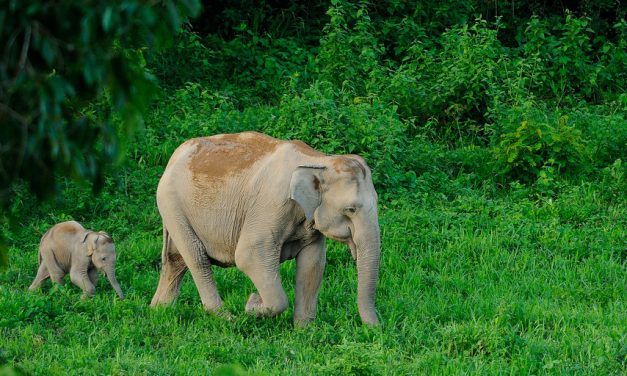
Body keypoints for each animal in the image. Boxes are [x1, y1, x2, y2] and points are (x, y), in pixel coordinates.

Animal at [150, 132, 380, 326]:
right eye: (350, 209)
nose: (377, 329)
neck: (319, 160)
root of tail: (174, 155)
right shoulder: (271, 205)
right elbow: (248, 256)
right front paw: (252, 304)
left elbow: (313, 264)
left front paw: (304, 331)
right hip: (171, 202)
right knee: (196, 258)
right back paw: (227, 318)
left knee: (175, 259)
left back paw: (159, 312)